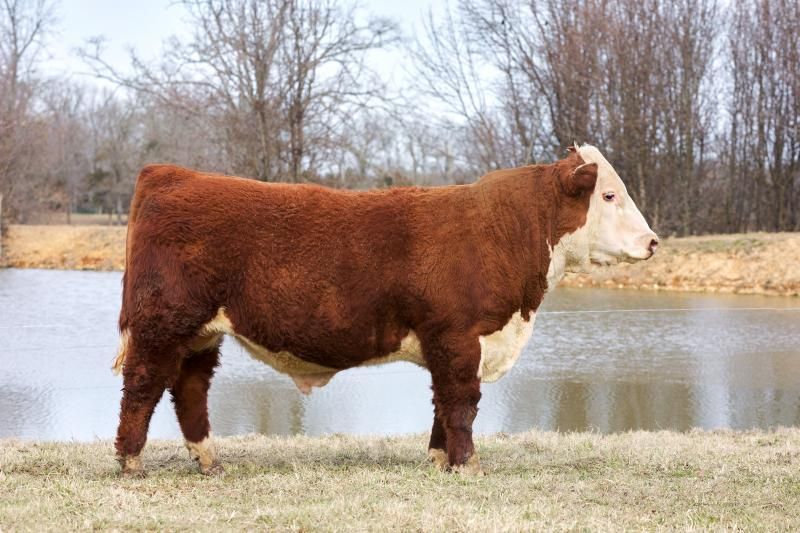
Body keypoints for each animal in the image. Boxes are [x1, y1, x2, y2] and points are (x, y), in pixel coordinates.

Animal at [112, 143, 658, 477]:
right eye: (609, 195)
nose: (653, 241)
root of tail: (170, 174)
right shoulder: (459, 338)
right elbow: (462, 403)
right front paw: (468, 464)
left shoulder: (446, 344)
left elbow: (442, 404)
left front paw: (439, 460)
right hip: (163, 324)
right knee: (143, 386)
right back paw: (131, 463)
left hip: (201, 332)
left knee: (189, 389)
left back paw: (209, 461)